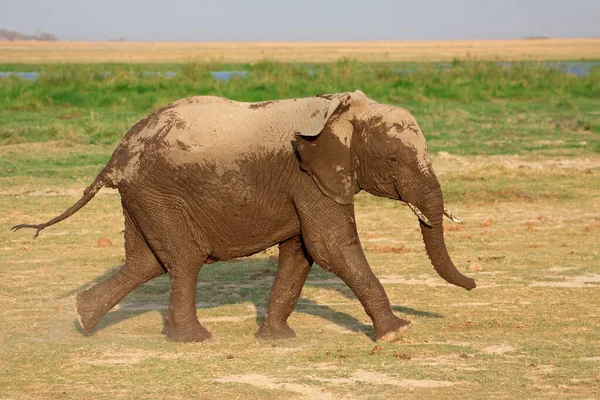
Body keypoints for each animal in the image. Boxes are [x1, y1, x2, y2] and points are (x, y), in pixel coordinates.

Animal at [11, 90, 476, 344]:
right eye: (394, 160)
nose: (473, 283)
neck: (342, 112)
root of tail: (116, 155)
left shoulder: (303, 182)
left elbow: (301, 253)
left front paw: (277, 339)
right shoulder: (308, 175)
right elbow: (330, 248)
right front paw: (398, 332)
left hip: (144, 195)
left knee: (146, 263)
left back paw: (82, 320)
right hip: (158, 192)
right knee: (182, 259)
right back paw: (193, 340)